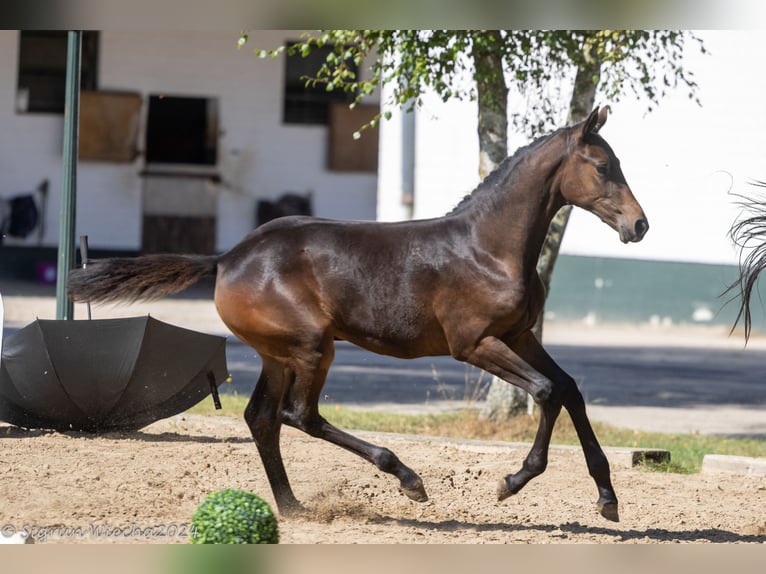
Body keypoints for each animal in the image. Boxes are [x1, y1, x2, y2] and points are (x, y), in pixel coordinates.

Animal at [70, 108, 648, 528]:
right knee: (298, 415)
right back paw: (407, 479)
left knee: (262, 418)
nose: (639, 225)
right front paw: (511, 481)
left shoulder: (520, 335)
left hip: (279, 353)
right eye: (603, 167)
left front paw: (608, 498)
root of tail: (228, 257)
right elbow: (547, 392)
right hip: (312, 346)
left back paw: (293, 506)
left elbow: (569, 389)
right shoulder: (474, 344)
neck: (487, 247)